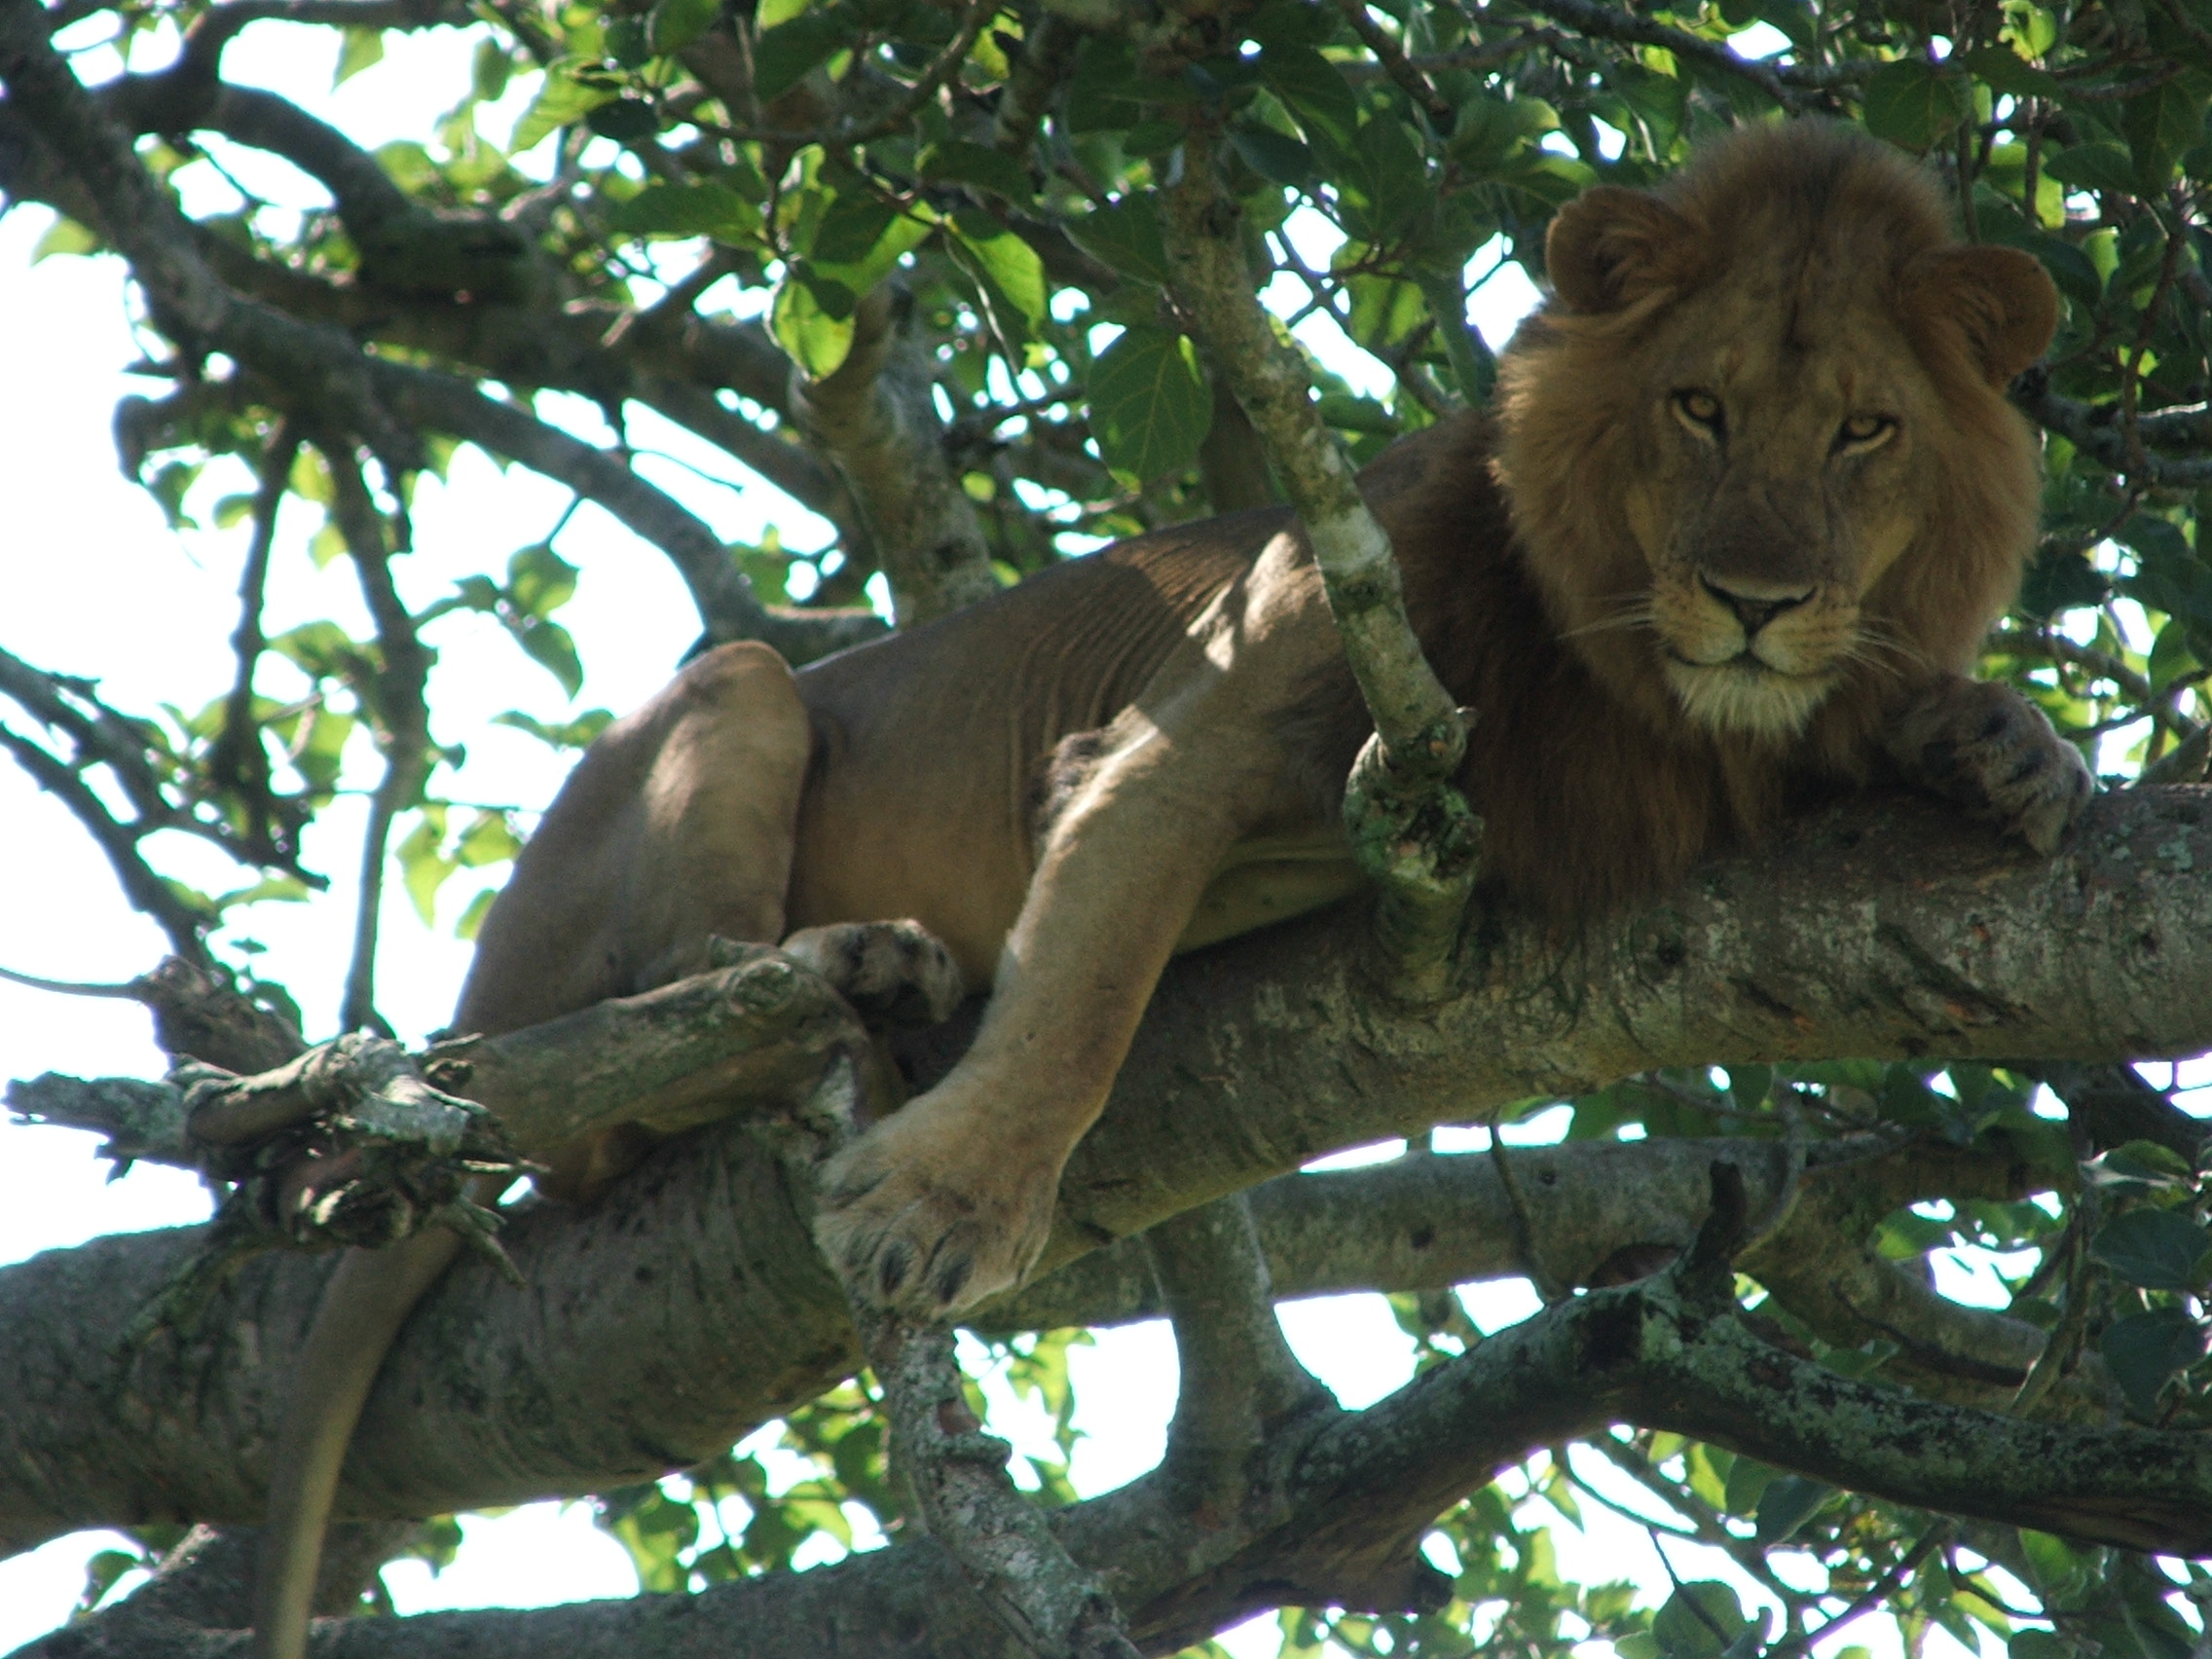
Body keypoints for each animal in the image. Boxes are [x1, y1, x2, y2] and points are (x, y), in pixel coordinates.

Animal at [250, 120, 2079, 1659]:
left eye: (1865, 430)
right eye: (1698, 407)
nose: (1758, 601)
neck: (1645, 690)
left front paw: (2006, 747)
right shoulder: (1169, 743)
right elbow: (1084, 995)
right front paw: (939, 1210)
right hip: (735, 700)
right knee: (661, 1028)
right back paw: (867, 970)